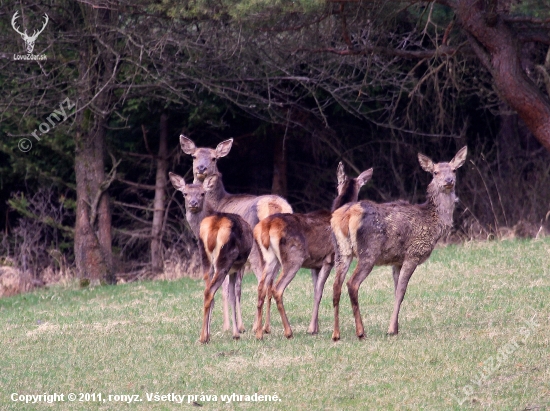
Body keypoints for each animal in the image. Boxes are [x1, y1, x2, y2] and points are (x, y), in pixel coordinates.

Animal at [168, 172, 254, 342]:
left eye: (202, 193)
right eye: (185, 193)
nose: (193, 203)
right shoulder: (236, 267)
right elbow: (233, 294)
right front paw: (236, 331)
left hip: (206, 259)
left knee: (207, 292)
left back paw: (204, 336)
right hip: (227, 258)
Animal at [180, 137, 294, 334]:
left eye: (214, 158)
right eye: (194, 156)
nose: (201, 168)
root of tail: (274, 207)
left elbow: (226, 288)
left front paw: (228, 327)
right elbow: (237, 289)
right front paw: (239, 325)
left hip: (257, 251)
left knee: (263, 282)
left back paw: (258, 326)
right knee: (274, 284)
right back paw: (266, 327)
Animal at [254, 163, 376, 340]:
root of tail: (265, 228)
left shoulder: (315, 265)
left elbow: (315, 291)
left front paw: (314, 327)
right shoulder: (329, 259)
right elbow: (319, 292)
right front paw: (313, 329)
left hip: (270, 259)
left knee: (261, 287)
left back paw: (259, 332)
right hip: (294, 258)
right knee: (276, 288)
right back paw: (288, 331)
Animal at [332, 147, 470, 342]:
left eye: (454, 170)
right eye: (435, 172)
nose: (448, 181)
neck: (433, 224)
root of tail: (345, 215)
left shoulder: (396, 260)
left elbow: (396, 290)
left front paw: (396, 327)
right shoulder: (413, 253)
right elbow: (401, 292)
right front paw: (391, 330)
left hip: (341, 251)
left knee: (336, 285)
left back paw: (336, 334)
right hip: (368, 251)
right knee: (352, 284)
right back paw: (361, 332)